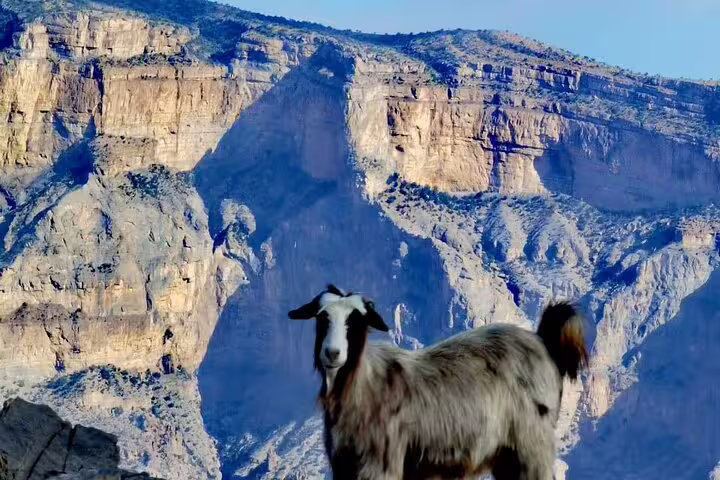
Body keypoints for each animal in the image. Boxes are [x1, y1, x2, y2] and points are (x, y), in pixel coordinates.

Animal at [288, 284, 588, 480]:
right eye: (322, 317)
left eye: (356, 320)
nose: (332, 353)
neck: (361, 383)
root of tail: (544, 341)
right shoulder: (345, 466)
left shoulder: (380, 465)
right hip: (508, 455)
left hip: (532, 446)